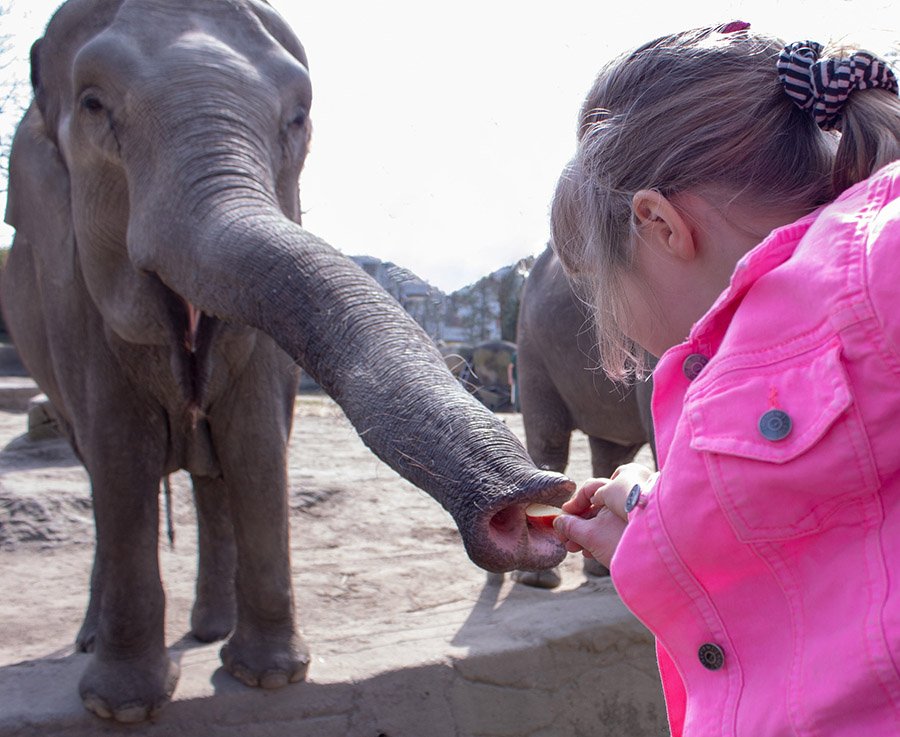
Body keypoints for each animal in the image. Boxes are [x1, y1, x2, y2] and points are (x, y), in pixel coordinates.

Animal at [0, 0, 574, 722]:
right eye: (93, 104)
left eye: (297, 119)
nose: (536, 498)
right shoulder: (70, 284)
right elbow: (121, 449)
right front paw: (123, 709)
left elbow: (255, 442)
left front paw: (271, 679)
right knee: (101, 463)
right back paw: (94, 641)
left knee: (213, 471)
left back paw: (211, 632)